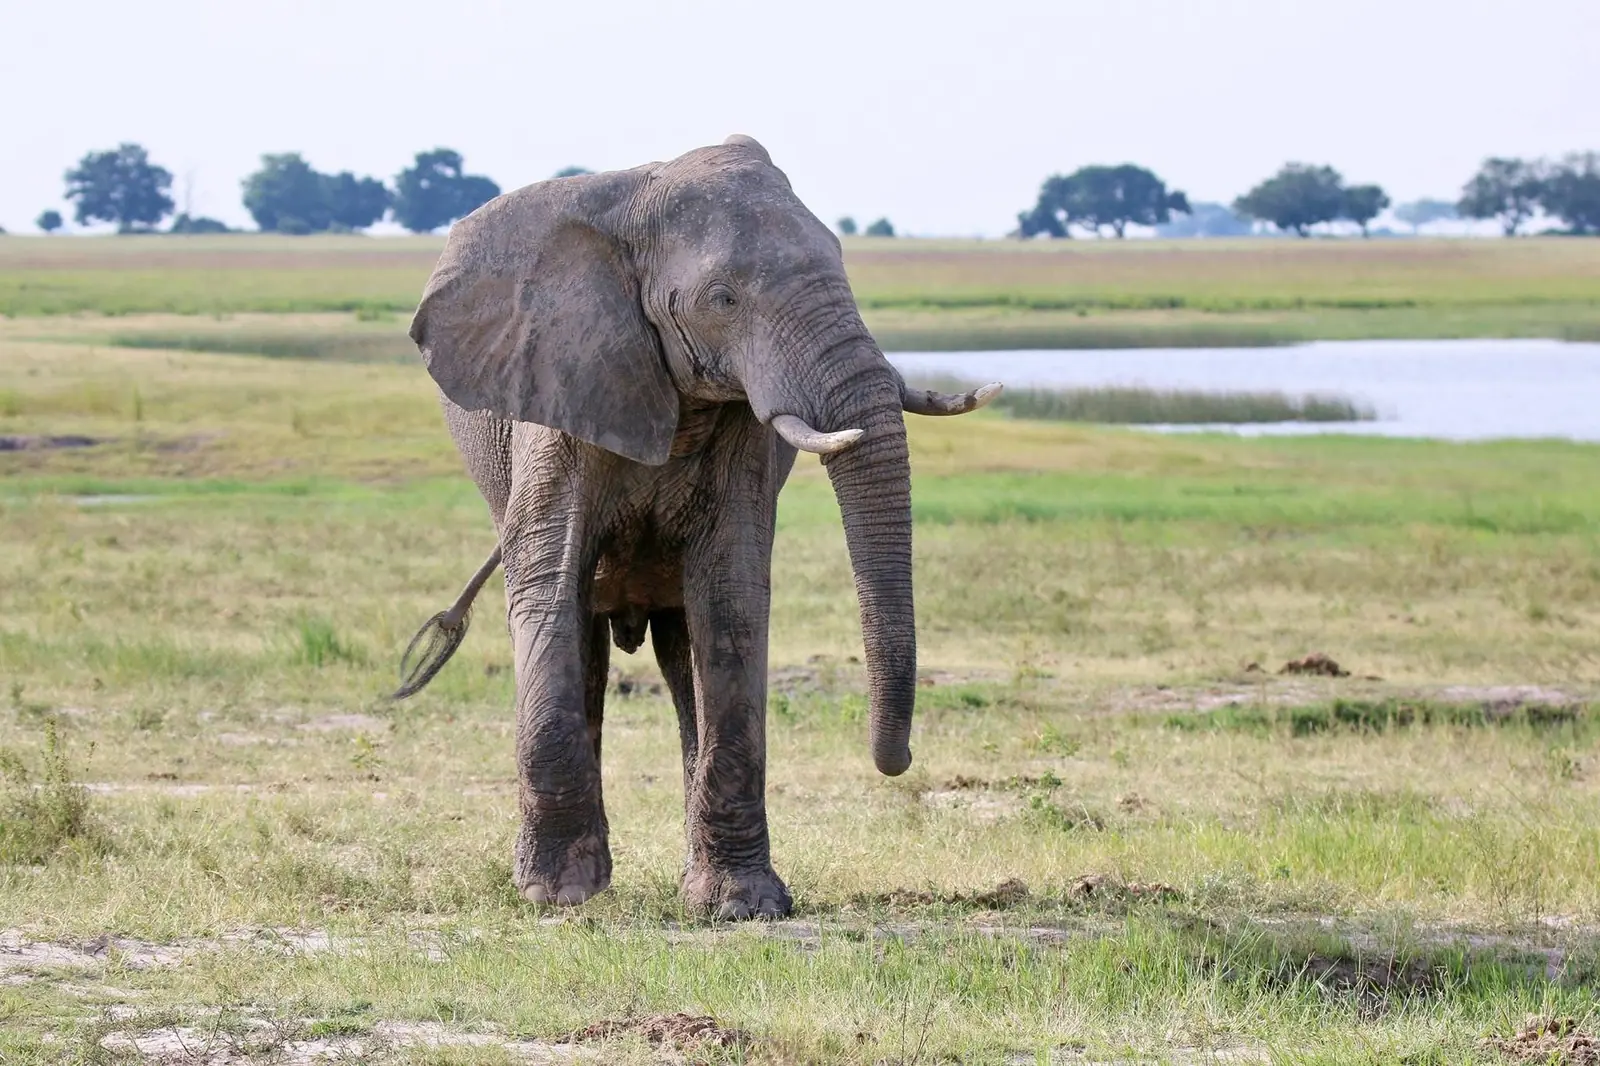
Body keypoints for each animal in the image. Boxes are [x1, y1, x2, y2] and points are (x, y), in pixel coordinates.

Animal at [393, 134, 1001, 919]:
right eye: (723, 299)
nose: (896, 763)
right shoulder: (557, 386)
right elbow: (546, 585)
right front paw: (554, 896)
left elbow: (732, 598)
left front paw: (744, 907)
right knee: (583, 636)